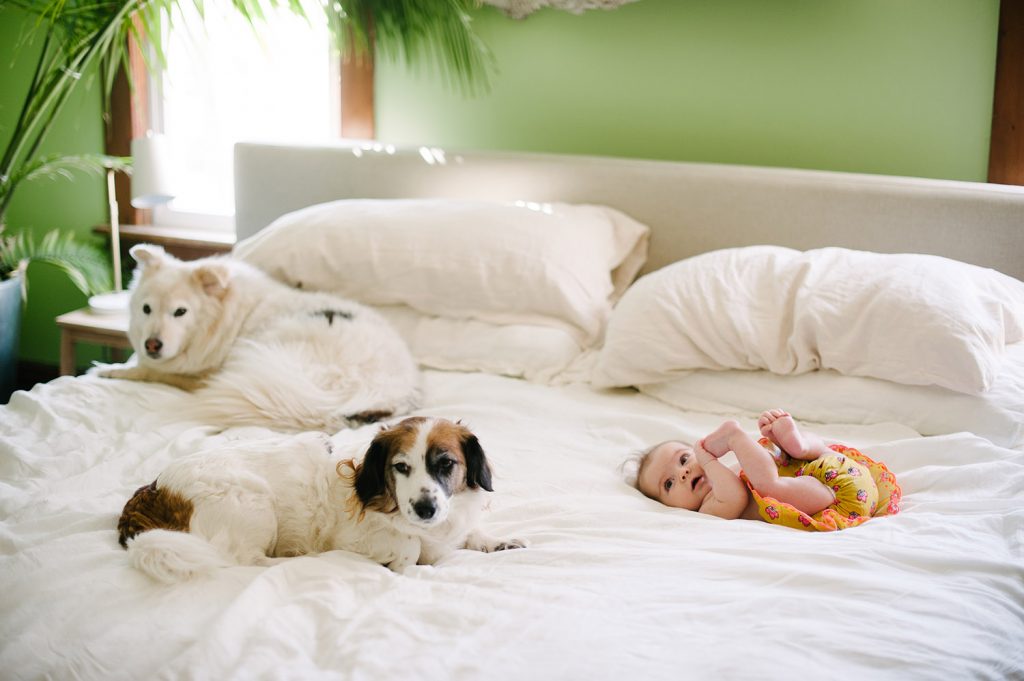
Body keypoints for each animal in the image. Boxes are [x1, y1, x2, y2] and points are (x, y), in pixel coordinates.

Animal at [99, 244, 419, 430]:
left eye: (180, 312)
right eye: (147, 309)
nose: (151, 345)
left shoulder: (204, 374)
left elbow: (154, 372)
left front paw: (112, 370)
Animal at [117, 417, 528, 581]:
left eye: (446, 464)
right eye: (401, 467)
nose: (425, 509)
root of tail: (154, 488)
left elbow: (470, 533)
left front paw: (496, 541)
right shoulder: (356, 536)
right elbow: (409, 546)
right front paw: (403, 561)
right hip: (253, 503)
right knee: (243, 560)